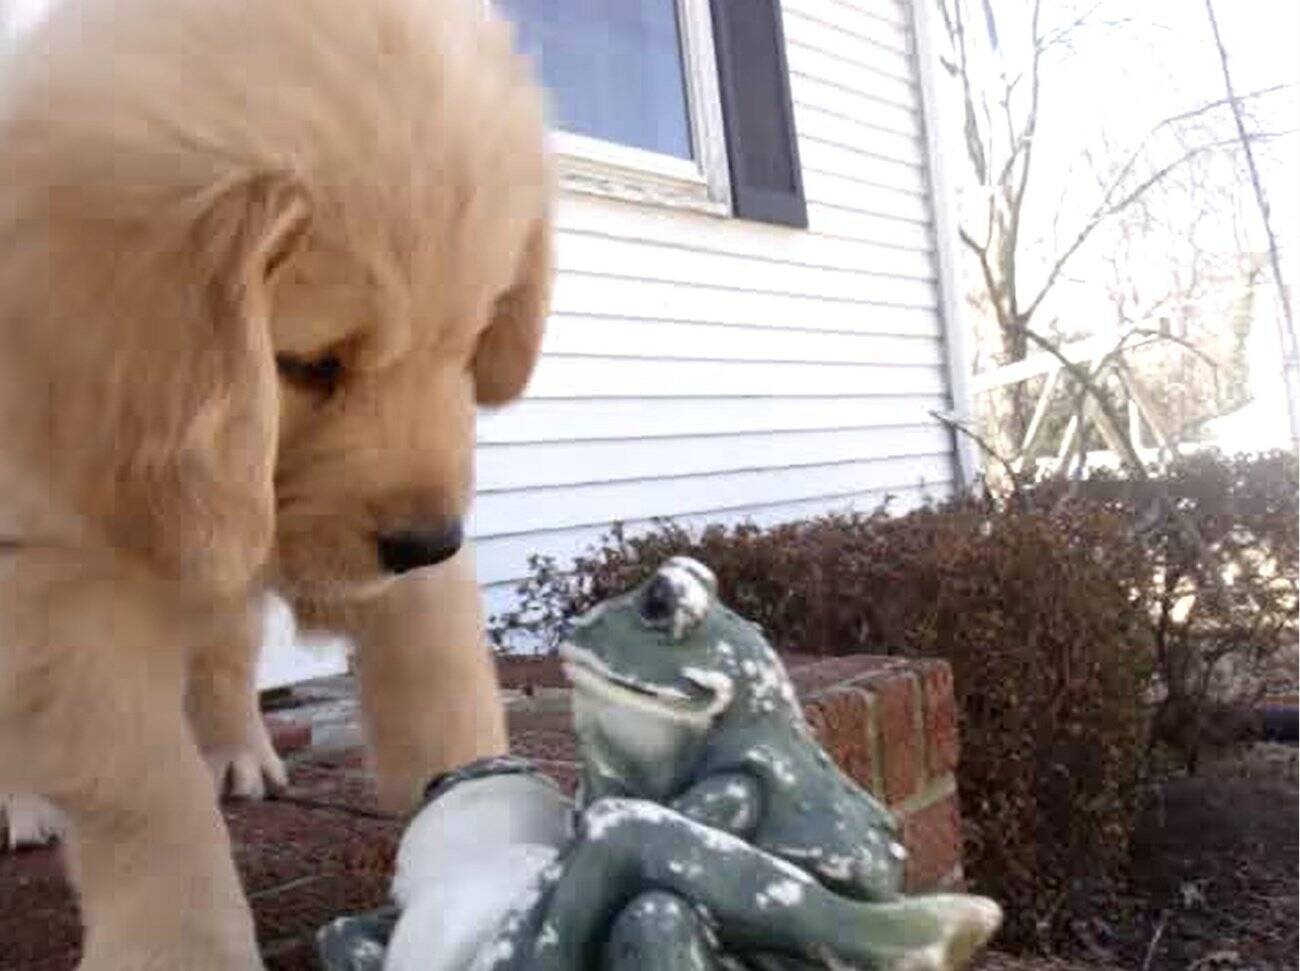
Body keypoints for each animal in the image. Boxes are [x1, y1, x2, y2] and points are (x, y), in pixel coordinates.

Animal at [0, 0, 551, 967]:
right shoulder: (59, 582)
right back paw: (25, 804)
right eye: (309, 364)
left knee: (225, 656)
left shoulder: (411, 559)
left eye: (466, 342)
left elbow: (445, 690)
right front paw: (181, 945)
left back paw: (237, 752)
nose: (429, 540)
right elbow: (143, 794)